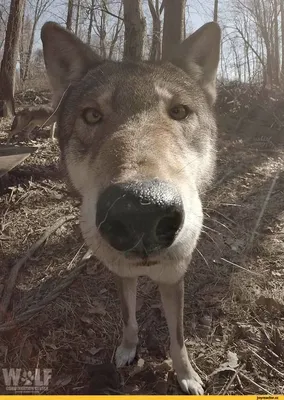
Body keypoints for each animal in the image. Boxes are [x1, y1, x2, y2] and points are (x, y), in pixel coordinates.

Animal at [41, 19, 221, 394]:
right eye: (92, 115)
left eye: (179, 112)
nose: (141, 210)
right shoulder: (121, 273)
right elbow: (128, 318)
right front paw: (127, 350)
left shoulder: (174, 277)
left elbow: (178, 338)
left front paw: (186, 375)